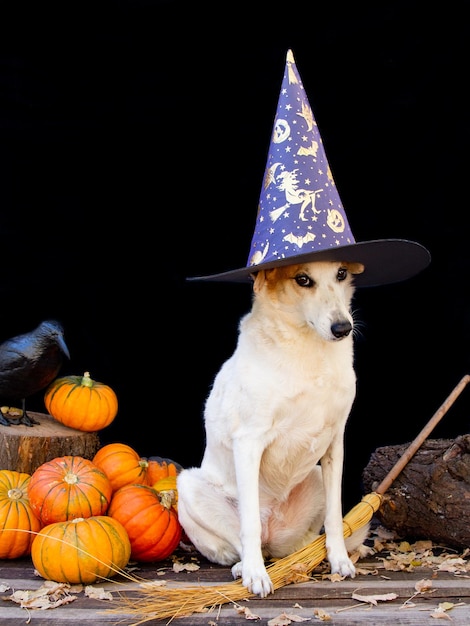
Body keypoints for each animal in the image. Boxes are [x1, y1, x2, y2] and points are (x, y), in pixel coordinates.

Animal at [178, 258, 370, 596]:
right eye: (302, 279)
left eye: (341, 274)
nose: (342, 328)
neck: (308, 350)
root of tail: (274, 534)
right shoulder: (248, 442)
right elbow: (249, 525)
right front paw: (255, 575)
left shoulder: (335, 443)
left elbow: (335, 515)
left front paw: (339, 559)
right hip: (188, 486)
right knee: (241, 539)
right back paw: (245, 565)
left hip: (315, 477)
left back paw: (305, 554)